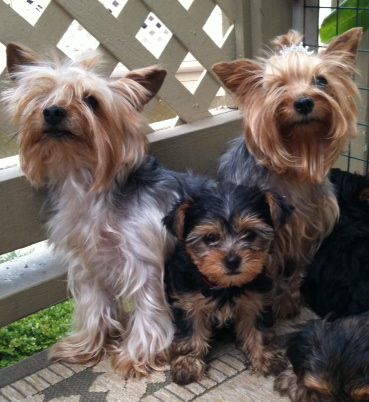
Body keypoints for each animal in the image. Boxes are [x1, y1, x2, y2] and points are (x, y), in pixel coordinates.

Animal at [2, 43, 204, 376]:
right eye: (43, 95)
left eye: (91, 101)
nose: (53, 111)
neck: (84, 178)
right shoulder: (88, 261)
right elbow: (94, 303)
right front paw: (87, 345)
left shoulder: (143, 260)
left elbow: (149, 307)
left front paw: (138, 356)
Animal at [162, 181, 292, 384]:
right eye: (210, 238)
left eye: (249, 234)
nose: (232, 261)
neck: (226, 286)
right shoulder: (188, 300)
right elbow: (192, 332)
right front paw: (188, 363)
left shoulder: (256, 299)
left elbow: (258, 329)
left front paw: (264, 357)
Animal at [213, 26, 362, 318]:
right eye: (277, 85)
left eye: (321, 81)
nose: (304, 102)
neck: (296, 162)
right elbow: (268, 272)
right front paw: (272, 304)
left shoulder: (309, 229)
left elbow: (297, 271)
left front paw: (289, 300)